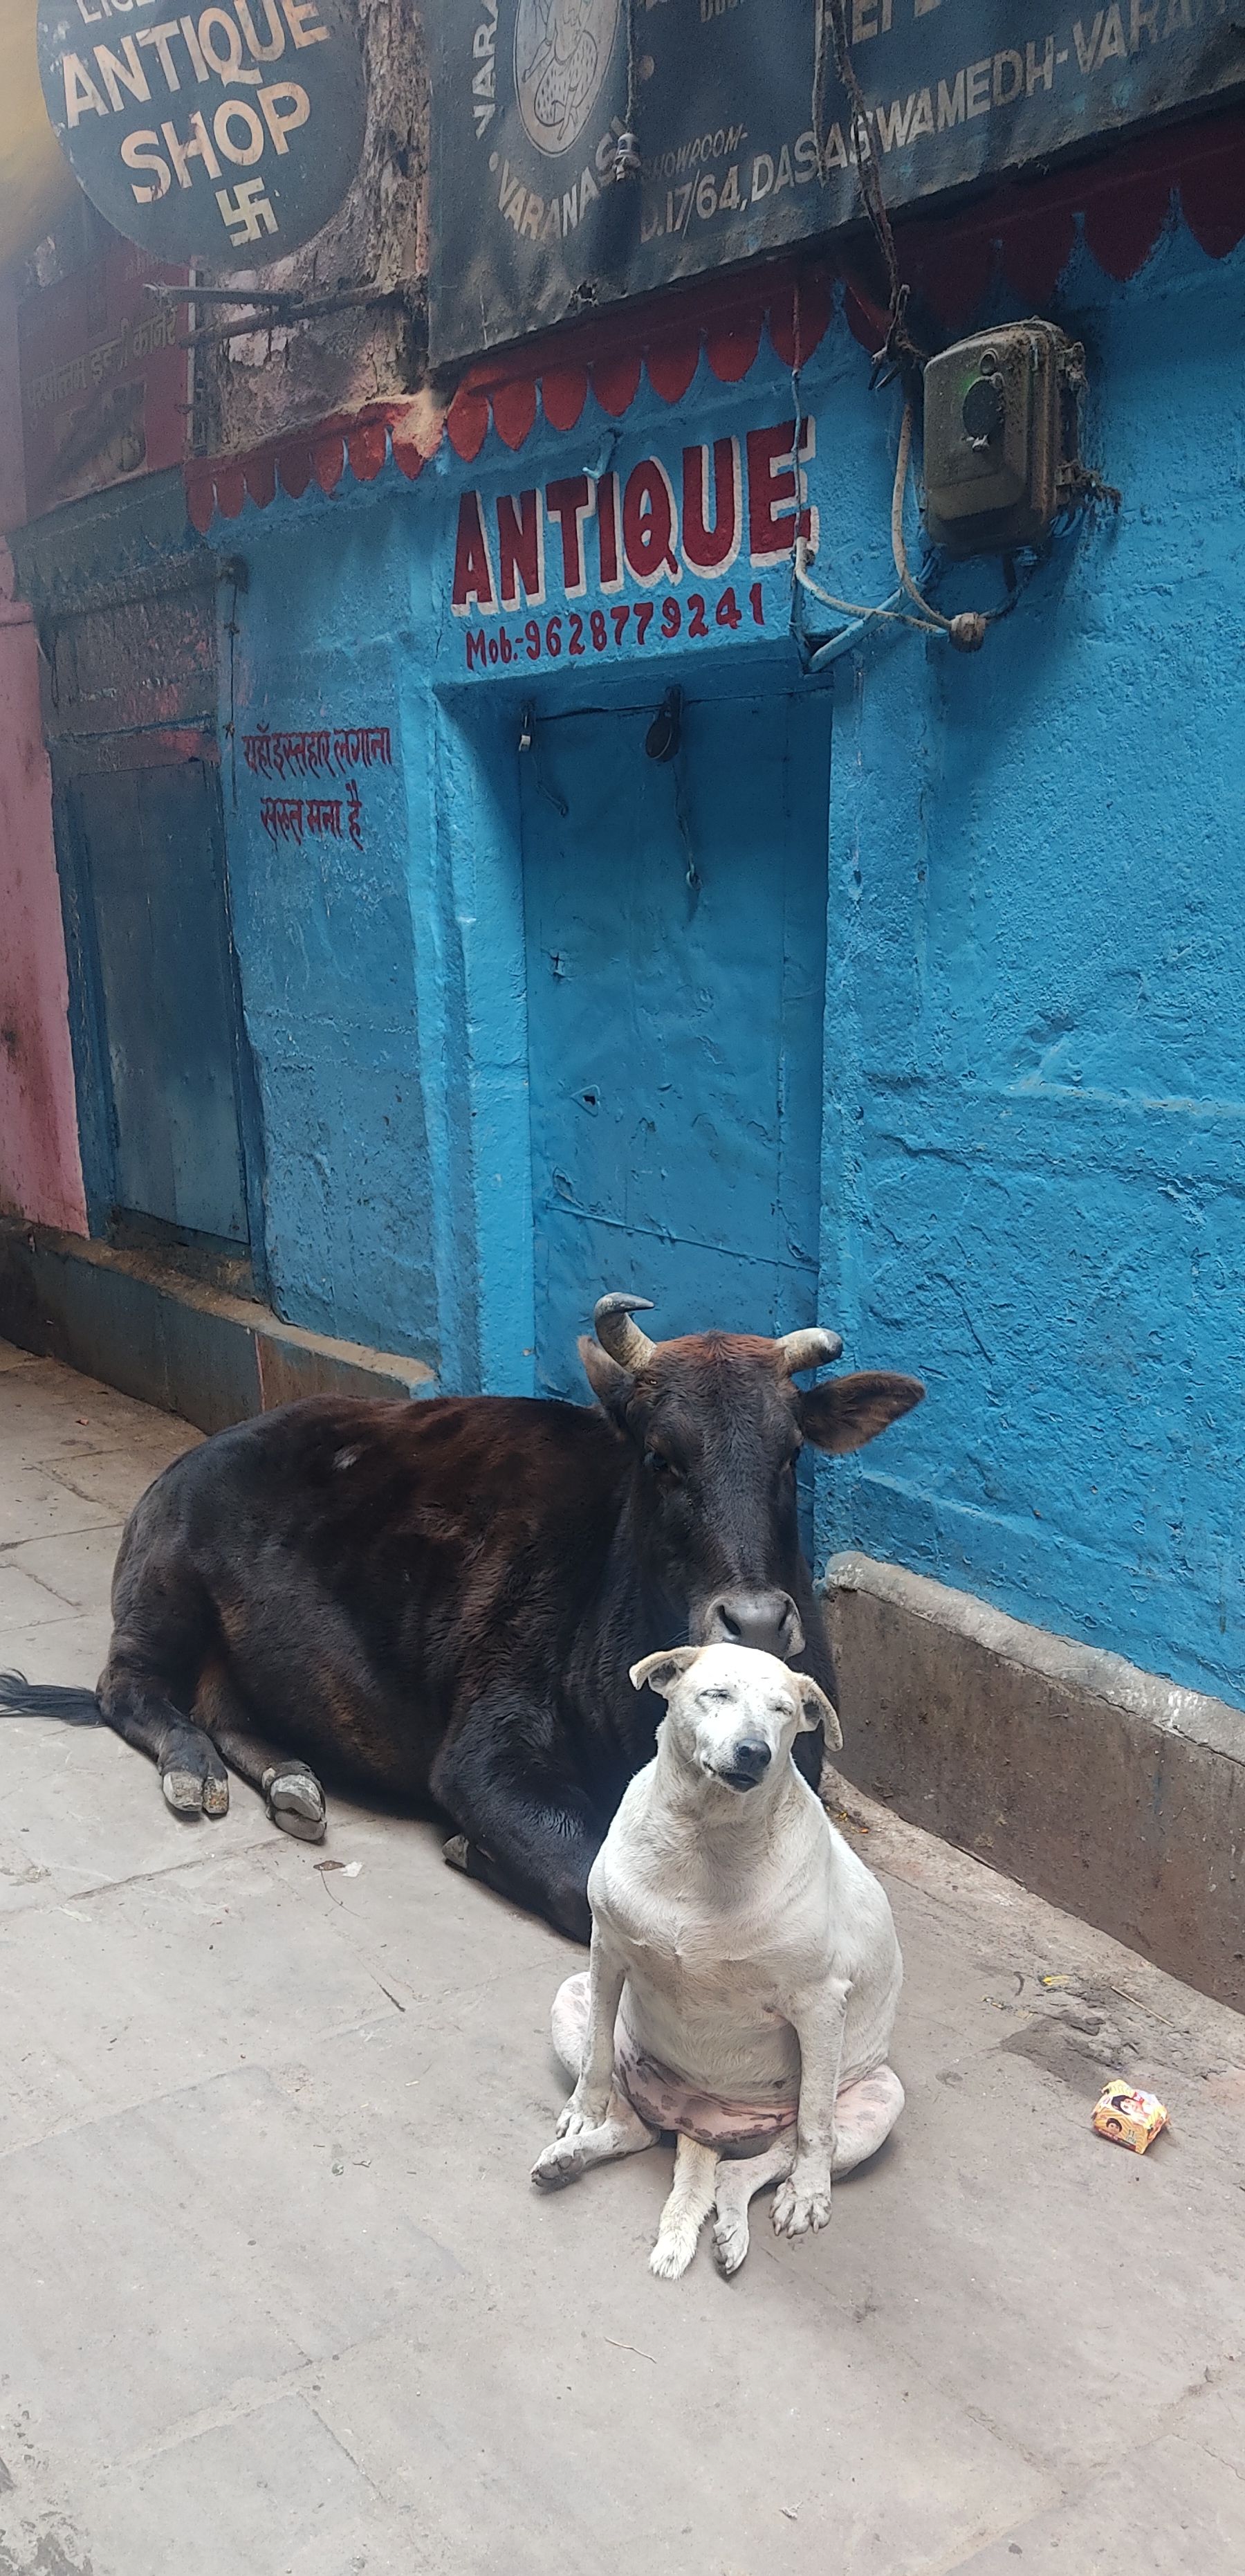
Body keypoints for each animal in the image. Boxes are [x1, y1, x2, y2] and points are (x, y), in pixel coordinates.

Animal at [0, 1288, 917, 1937]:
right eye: (661, 1456)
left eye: (790, 1454)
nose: (757, 1622)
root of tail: (186, 1463)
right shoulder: (487, 1758)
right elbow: (586, 1882)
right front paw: (471, 1850)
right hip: (162, 1598)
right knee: (128, 1690)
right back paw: (194, 1769)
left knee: (226, 1712)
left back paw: (293, 1779)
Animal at [531, 1648, 902, 2277]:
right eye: (717, 1694)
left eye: (782, 1710)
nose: (755, 1750)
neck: (705, 1837)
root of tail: (698, 2123)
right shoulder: (607, 1952)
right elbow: (596, 2055)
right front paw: (581, 2111)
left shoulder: (820, 2005)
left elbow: (815, 2126)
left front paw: (810, 2194)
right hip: (572, 1994)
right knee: (632, 2125)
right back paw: (573, 2155)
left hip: (878, 2096)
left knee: (756, 2164)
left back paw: (757, 2209)